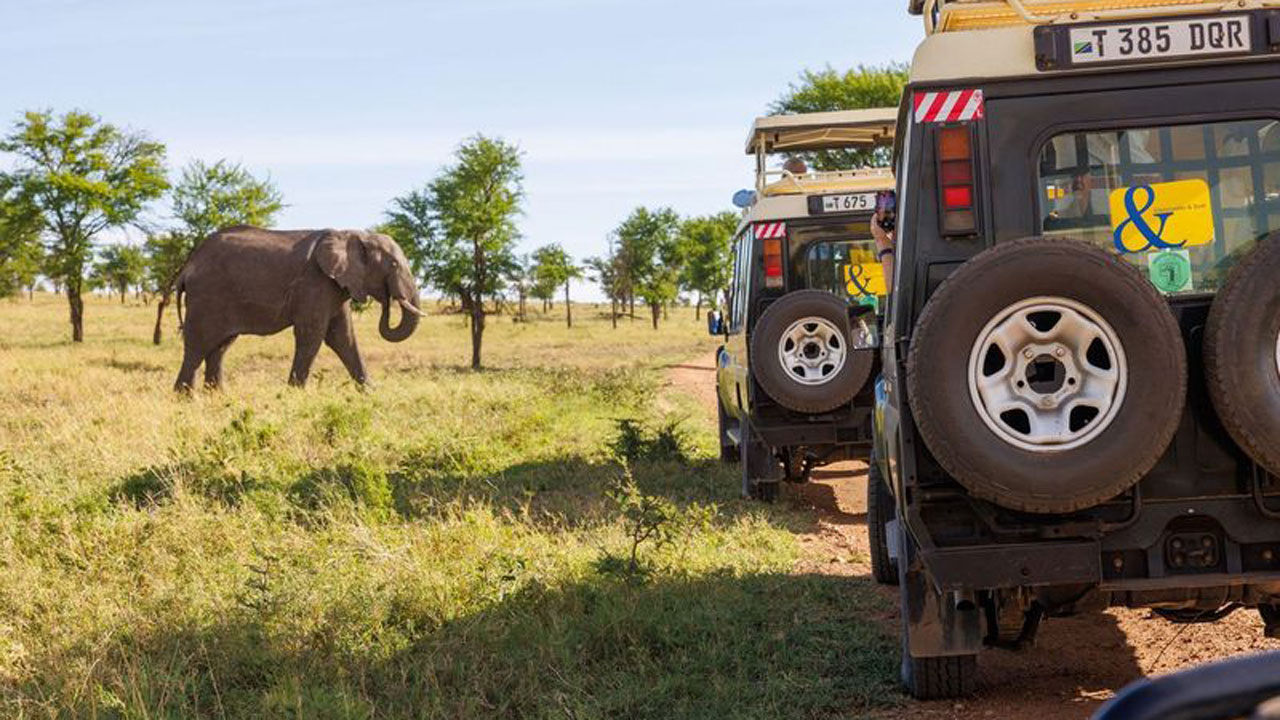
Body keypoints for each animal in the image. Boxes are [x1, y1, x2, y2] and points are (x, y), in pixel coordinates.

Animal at [168, 225, 419, 389]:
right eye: (394, 265)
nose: (388, 300)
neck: (354, 234)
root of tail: (187, 266)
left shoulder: (336, 286)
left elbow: (343, 338)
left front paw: (370, 393)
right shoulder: (315, 282)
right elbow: (313, 335)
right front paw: (295, 392)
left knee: (219, 348)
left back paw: (218, 396)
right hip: (207, 296)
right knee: (197, 346)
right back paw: (186, 398)